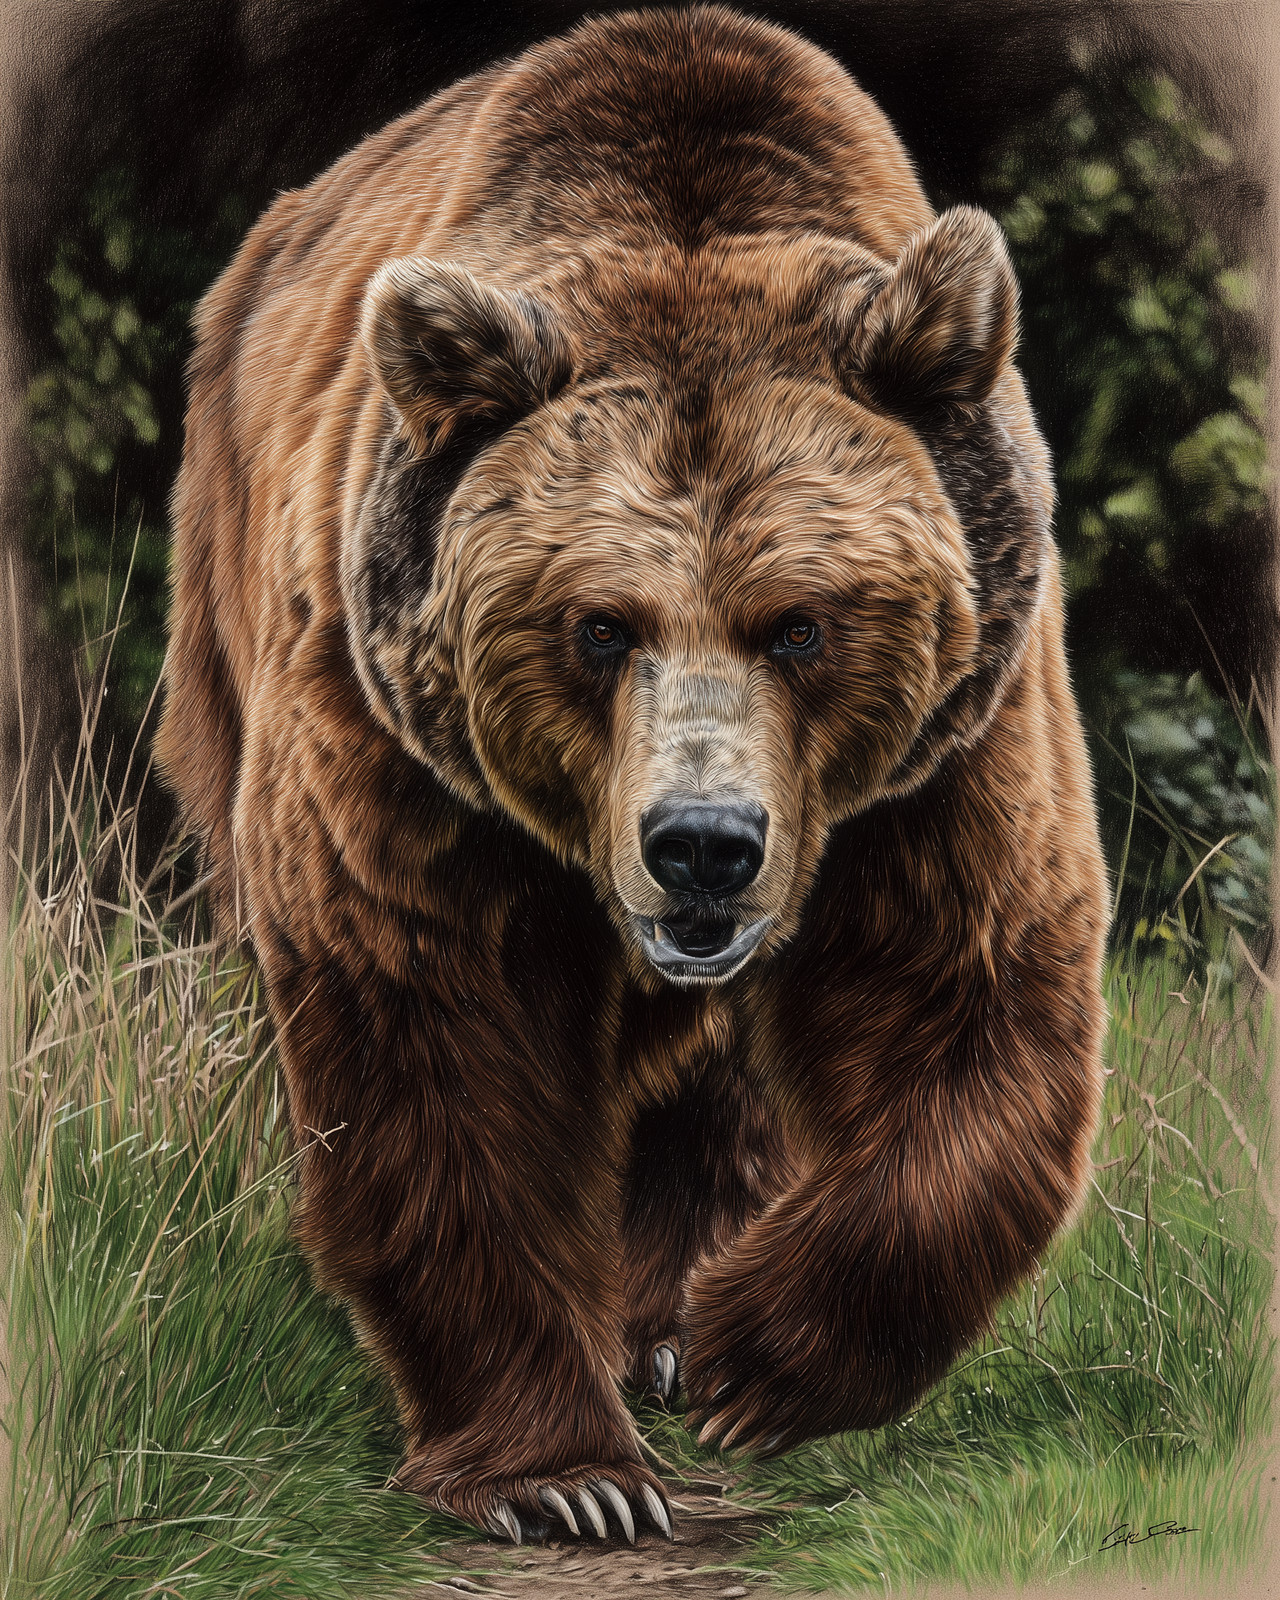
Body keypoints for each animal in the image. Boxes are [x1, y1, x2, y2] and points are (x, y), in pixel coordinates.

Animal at [157, 3, 1108, 1547]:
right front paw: (566, 1476)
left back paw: (667, 1319)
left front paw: (747, 1357)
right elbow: (432, 1033)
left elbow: (966, 997)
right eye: (597, 624)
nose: (702, 843)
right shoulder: (401, 752)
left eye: (802, 621)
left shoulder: (945, 752)